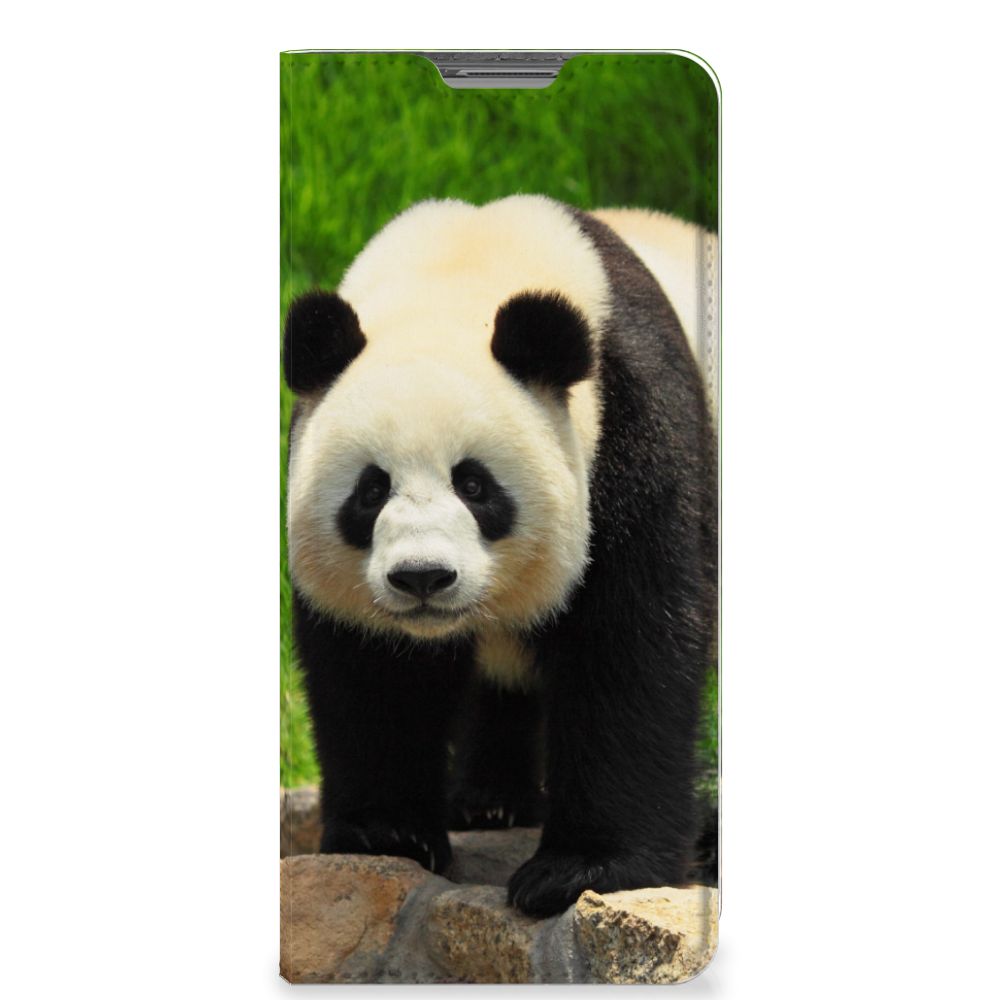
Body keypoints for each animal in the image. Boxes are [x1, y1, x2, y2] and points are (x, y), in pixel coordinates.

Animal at [283, 194, 717, 918]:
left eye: (475, 485)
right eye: (371, 491)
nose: (423, 577)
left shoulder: (635, 425)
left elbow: (630, 644)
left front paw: (581, 869)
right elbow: (373, 671)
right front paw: (386, 832)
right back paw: (489, 801)